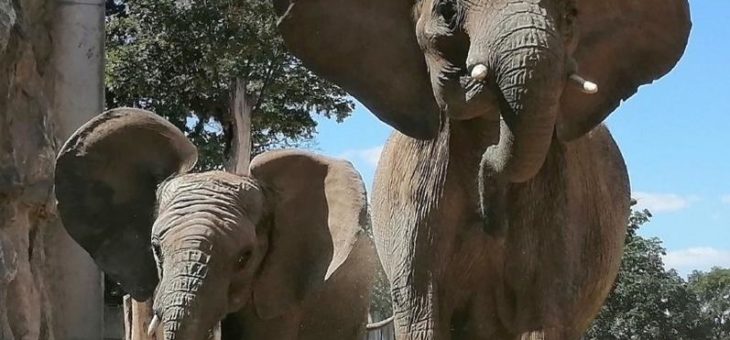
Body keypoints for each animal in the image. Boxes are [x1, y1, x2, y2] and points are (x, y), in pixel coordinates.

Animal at [270, 0, 692, 338]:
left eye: (570, 15)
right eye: (446, 12)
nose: (490, 215)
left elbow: (541, 312)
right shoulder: (419, 191)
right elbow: (422, 307)